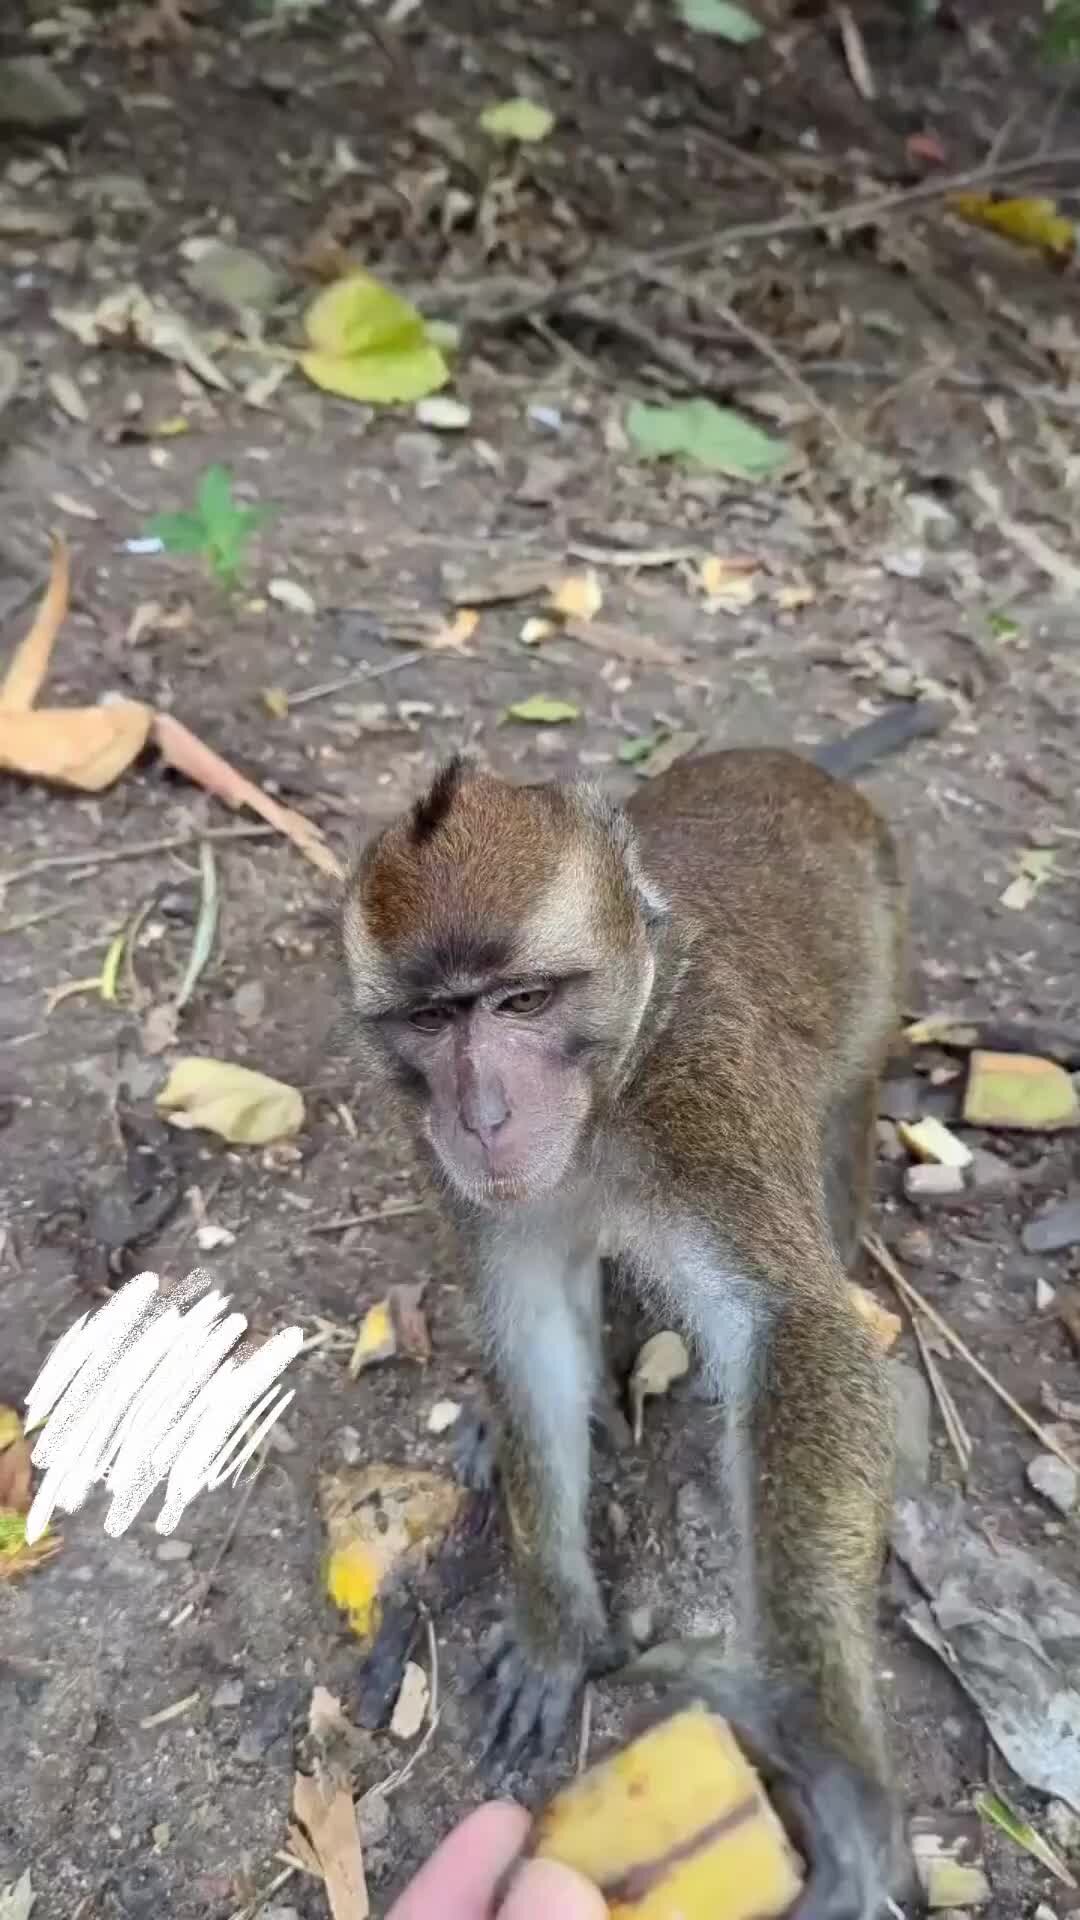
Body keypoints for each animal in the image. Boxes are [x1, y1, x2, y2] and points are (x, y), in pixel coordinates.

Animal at [338, 714, 933, 1912]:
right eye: (432, 1018)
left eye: (521, 1002)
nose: (483, 1113)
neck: (613, 1087)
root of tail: (801, 769)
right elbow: (529, 1328)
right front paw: (558, 1621)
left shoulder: (712, 1096)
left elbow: (794, 1328)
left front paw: (833, 1768)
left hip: (877, 964)